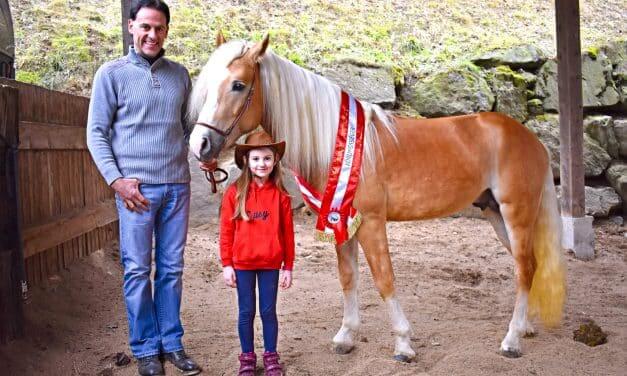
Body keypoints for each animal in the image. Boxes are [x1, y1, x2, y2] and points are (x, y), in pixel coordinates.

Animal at [189, 35, 568, 362]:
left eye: (238, 85)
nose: (200, 145)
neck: (335, 143)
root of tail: (531, 139)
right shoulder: (339, 222)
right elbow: (348, 277)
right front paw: (346, 337)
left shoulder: (371, 222)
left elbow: (384, 278)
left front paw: (403, 343)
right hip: (495, 214)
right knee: (528, 265)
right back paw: (525, 328)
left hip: (516, 214)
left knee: (524, 268)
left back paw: (511, 340)